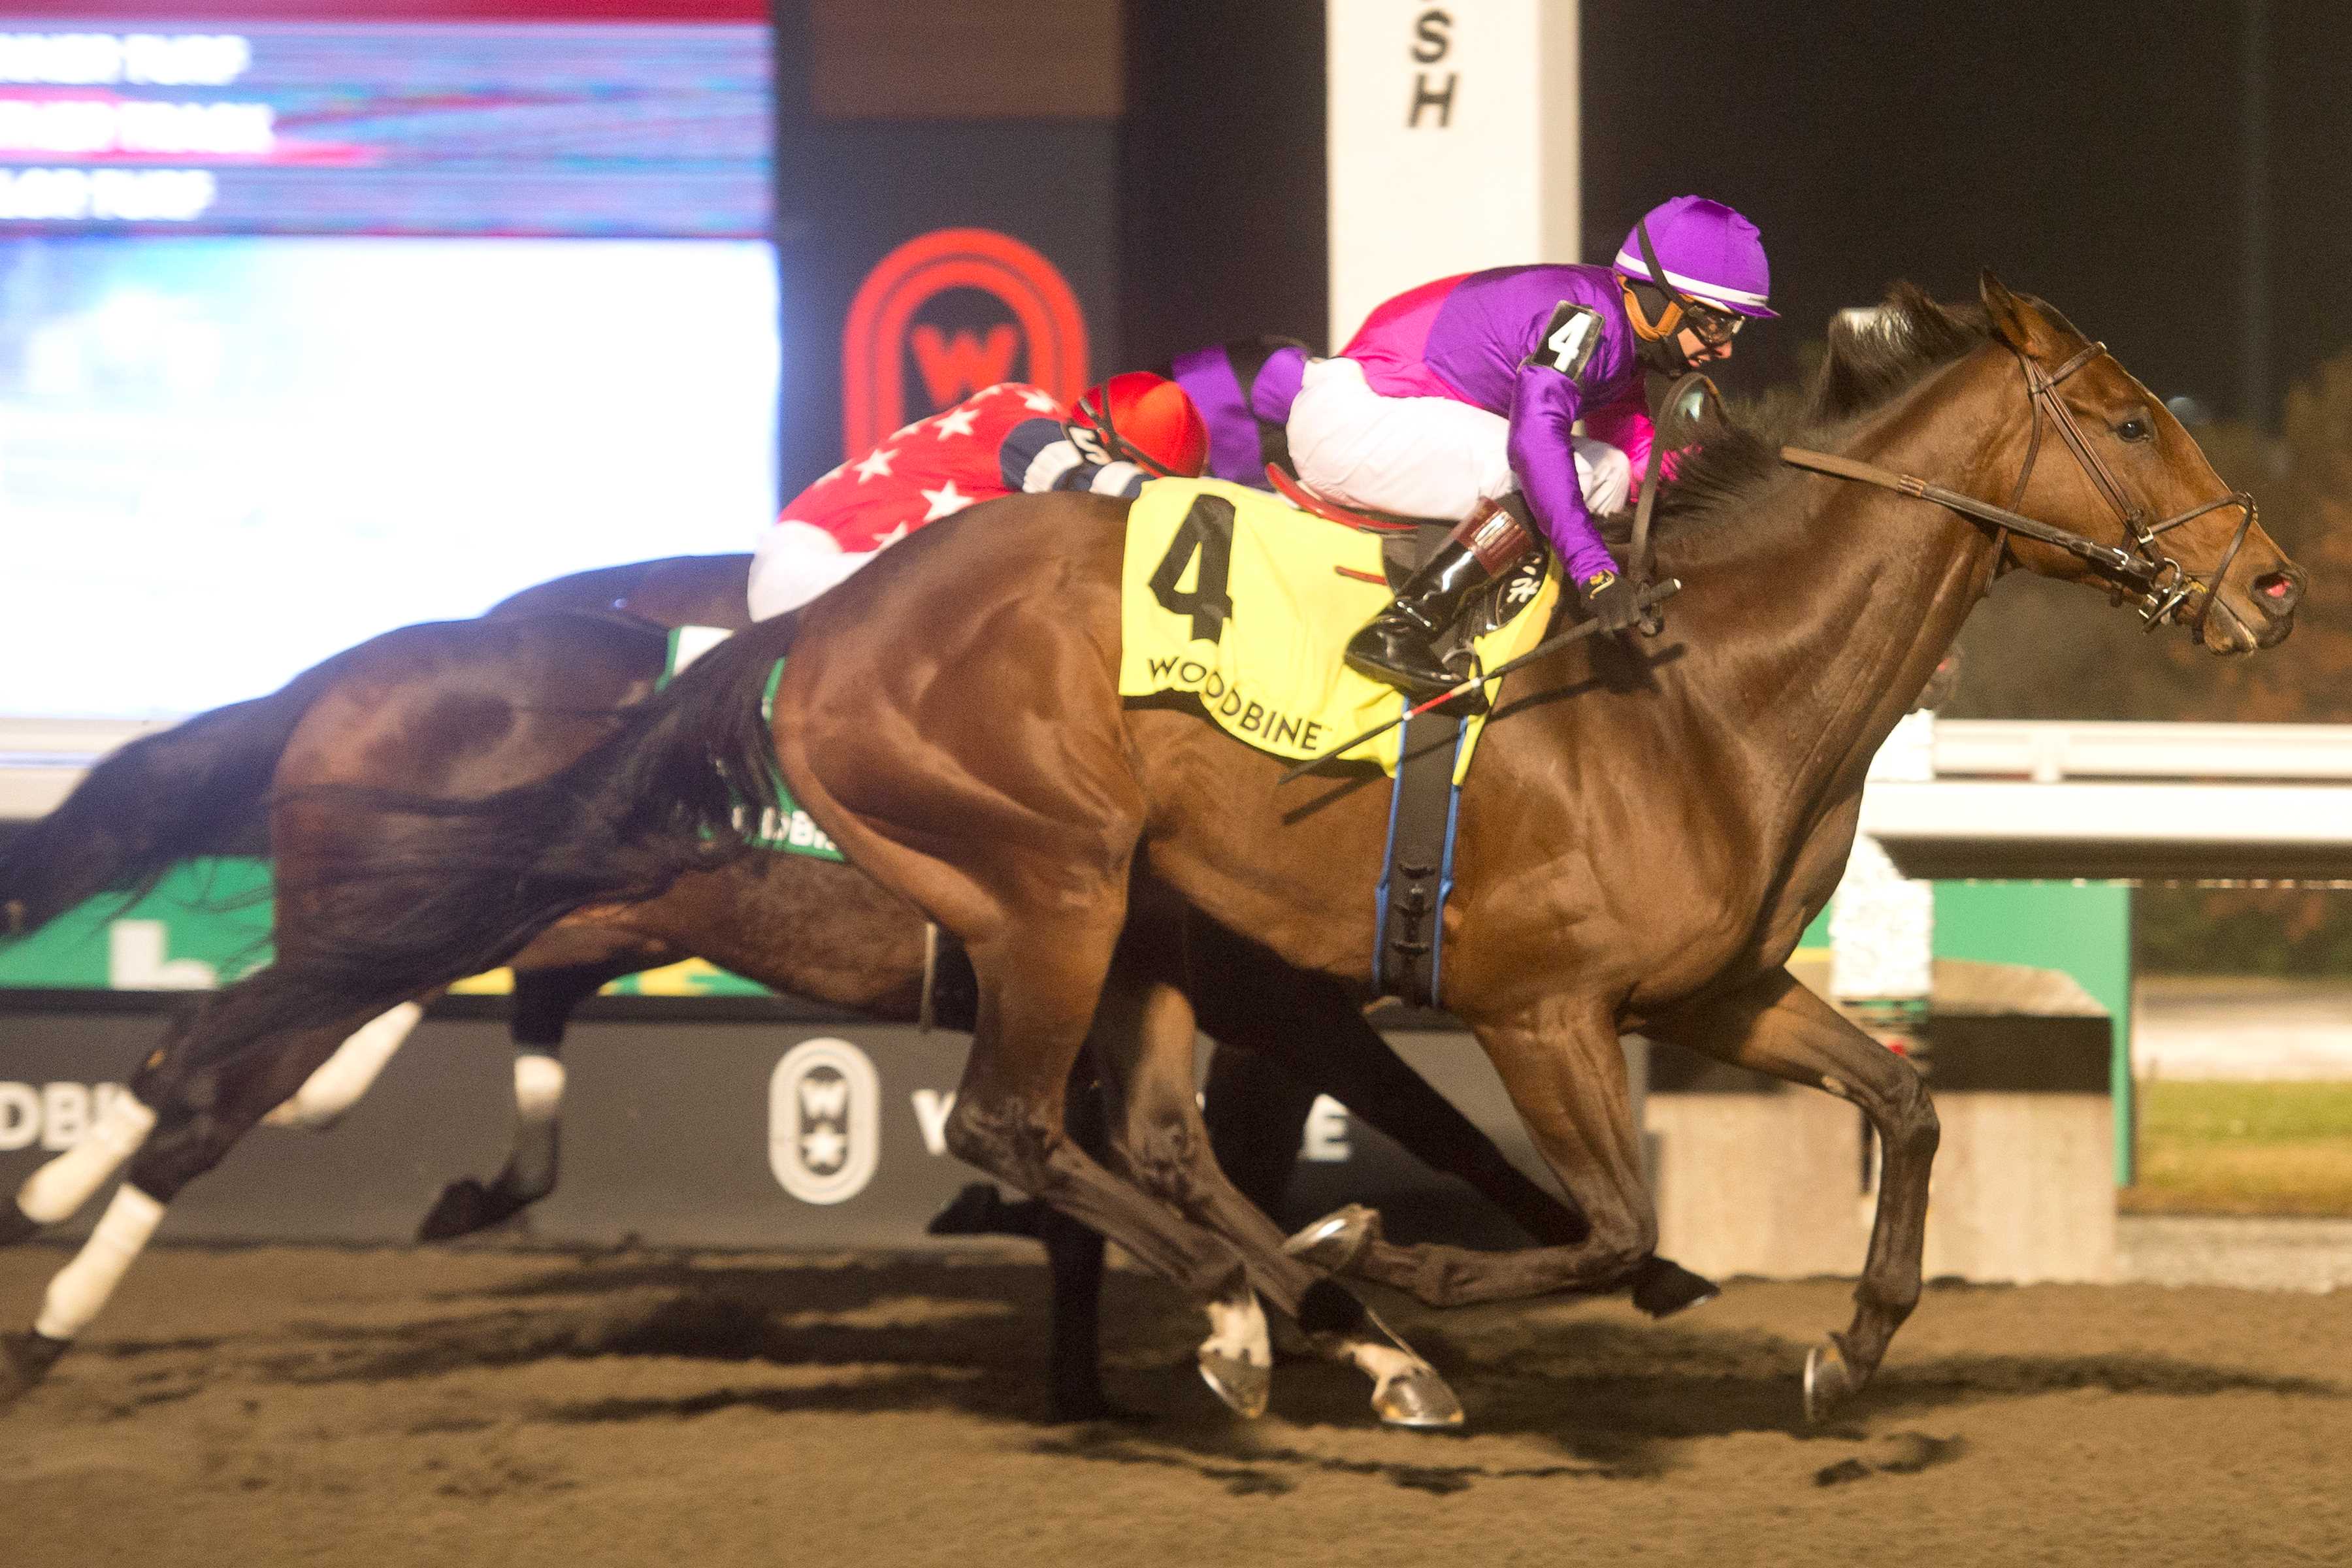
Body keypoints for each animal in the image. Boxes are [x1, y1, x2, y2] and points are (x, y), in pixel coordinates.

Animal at [212, 272, 2305, 1420]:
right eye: (2129, 418)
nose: (2275, 587)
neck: (1708, 681)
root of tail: (823, 625)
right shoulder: (1536, 1004)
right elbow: (1600, 1218)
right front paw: (1395, 1268)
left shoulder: (1708, 992)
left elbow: (1905, 1104)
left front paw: (1847, 1351)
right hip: (1051, 885)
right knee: (1007, 1121)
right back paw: (1281, 1306)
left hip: (1117, 914)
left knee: (1093, 1134)